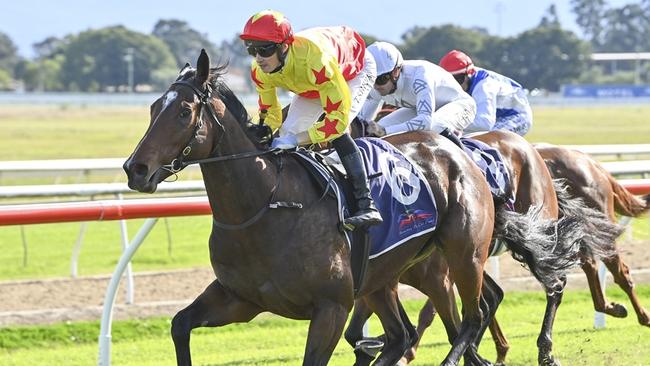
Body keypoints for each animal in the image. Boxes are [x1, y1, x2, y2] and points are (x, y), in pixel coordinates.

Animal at [124, 49, 504, 366]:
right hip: (382, 279)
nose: (135, 168)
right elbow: (179, 325)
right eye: (153, 108)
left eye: (184, 111)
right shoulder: (240, 298)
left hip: (462, 256)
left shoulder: (331, 309)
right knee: (401, 337)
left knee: (472, 317)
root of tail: (453, 147)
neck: (263, 208)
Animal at [344, 127, 624, 364]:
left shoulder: (437, 279)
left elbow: (448, 325)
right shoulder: (379, 278)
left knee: (555, 284)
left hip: (526, 234)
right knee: (495, 296)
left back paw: (546, 350)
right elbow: (360, 332)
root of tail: (532, 149)